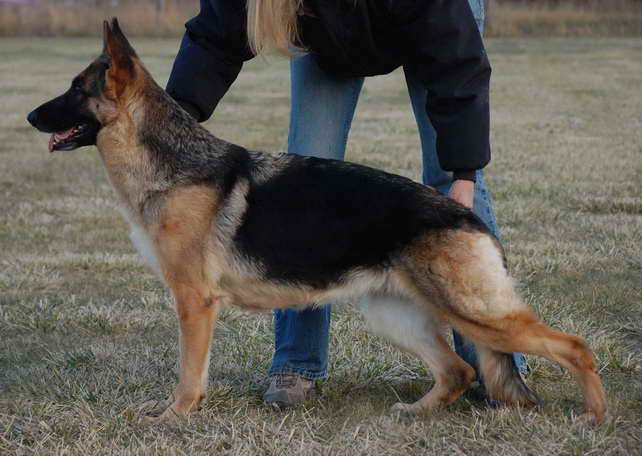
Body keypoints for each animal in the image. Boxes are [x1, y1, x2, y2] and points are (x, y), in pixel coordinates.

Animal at [26, 18, 604, 424]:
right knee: (458, 370)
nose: (29, 117)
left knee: (574, 347)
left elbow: (189, 373)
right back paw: (415, 413)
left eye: (76, 89)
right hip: (396, 316)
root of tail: (467, 216)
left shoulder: (194, 303)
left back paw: (593, 416)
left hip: (473, 313)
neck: (171, 162)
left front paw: (173, 416)